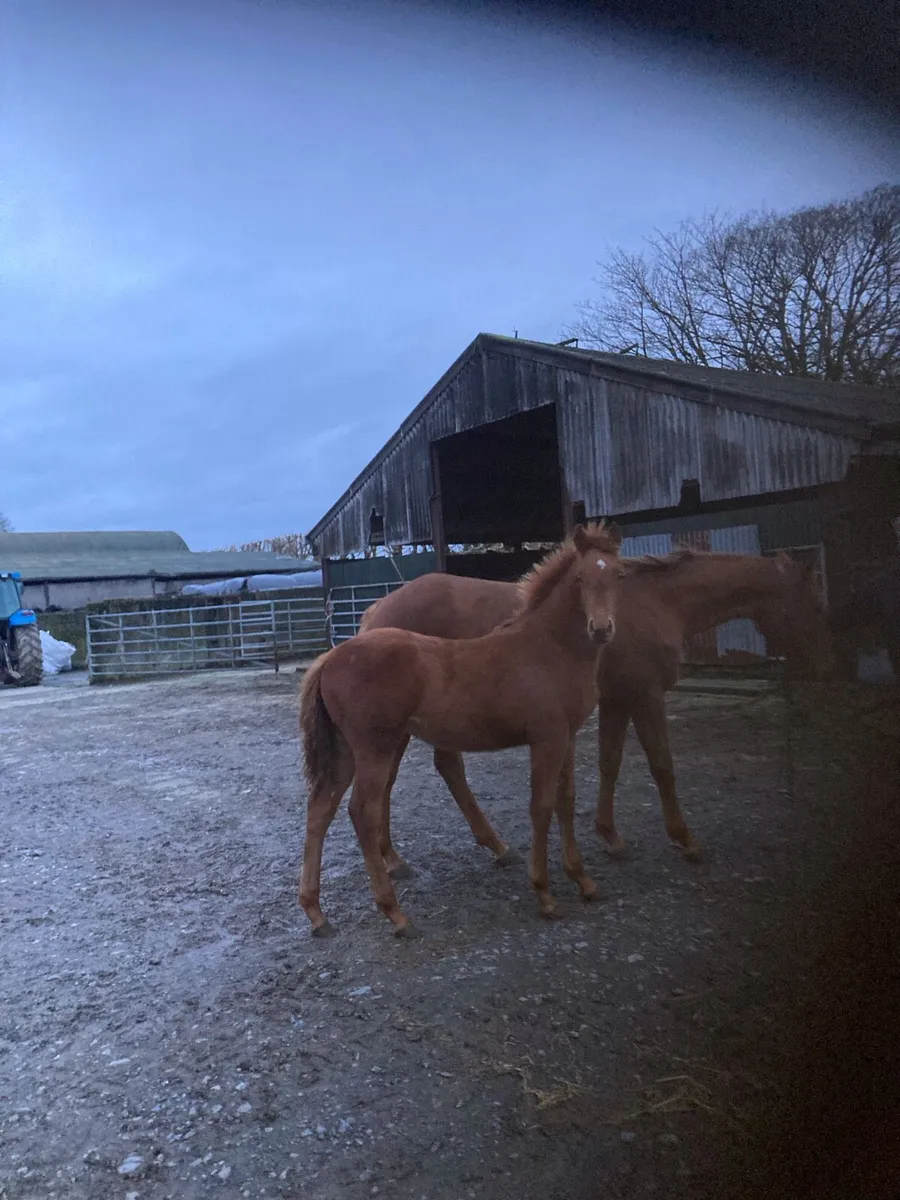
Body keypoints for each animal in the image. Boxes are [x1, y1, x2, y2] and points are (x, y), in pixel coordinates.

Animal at [299, 523, 627, 937]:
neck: (548, 650)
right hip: (374, 747)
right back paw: (395, 912)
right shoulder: (546, 737)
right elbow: (540, 806)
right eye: (581, 578)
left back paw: (316, 913)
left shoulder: (566, 737)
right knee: (362, 811)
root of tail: (329, 658)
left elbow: (565, 802)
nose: (601, 629)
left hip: (345, 751)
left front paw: (583, 880)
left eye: (619, 575)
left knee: (320, 809)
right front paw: (545, 894)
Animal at [361, 546, 833, 866]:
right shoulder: (646, 695)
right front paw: (684, 838)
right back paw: (403, 856)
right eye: (814, 601)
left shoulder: (618, 700)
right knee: (401, 778)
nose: (825, 666)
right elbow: (662, 765)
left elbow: (610, 762)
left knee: (428, 772)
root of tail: (376, 611)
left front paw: (610, 835)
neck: (657, 603)